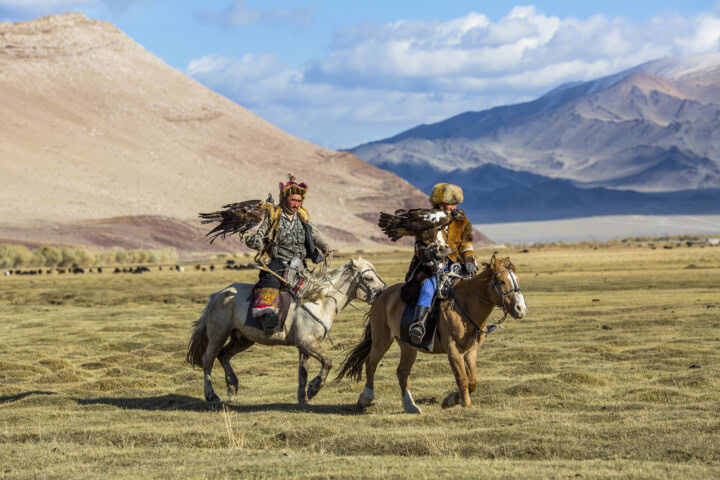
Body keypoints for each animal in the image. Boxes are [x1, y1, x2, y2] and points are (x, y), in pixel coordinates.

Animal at [186, 258, 387, 404]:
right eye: (369, 278)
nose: (382, 292)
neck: (317, 301)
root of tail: (217, 295)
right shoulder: (307, 342)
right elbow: (328, 362)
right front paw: (313, 389)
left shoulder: (305, 347)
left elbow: (303, 371)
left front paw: (303, 399)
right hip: (218, 335)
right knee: (208, 360)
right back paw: (212, 395)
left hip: (242, 339)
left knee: (224, 355)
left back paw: (232, 386)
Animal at [336, 255, 527, 413]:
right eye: (501, 281)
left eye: (517, 279)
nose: (521, 309)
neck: (465, 305)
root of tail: (382, 294)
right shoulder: (453, 351)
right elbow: (462, 378)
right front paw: (463, 404)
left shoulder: (471, 351)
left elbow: (473, 380)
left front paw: (452, 399)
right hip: (382, 340)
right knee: (371, 362)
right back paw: (365, 398)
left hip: (408, 346)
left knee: (402, 371)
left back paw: (410, 406)